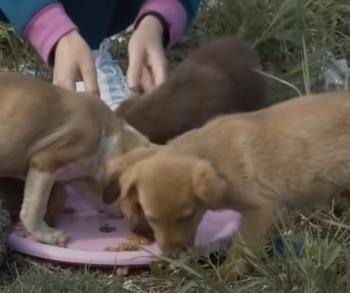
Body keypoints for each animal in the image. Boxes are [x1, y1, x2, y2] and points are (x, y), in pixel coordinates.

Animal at [0, 70, 148, 244]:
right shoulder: (46, 163)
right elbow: (36, 205)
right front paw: (47, 234)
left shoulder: (78, 174)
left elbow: (96, 198)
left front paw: (114, 209)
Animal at [116, 92, 350, 274]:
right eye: (152, 219)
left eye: (187, 216)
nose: (172, 255)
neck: (213, 155)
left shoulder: (263, 209)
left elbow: (241, 249)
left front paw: (225, 275)